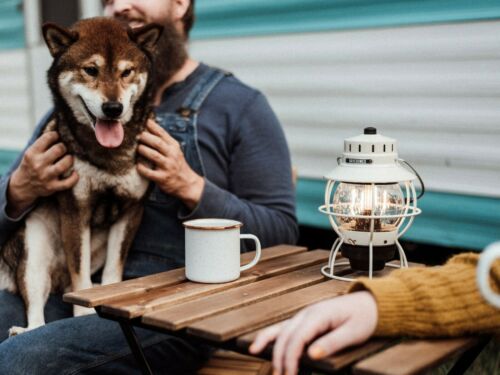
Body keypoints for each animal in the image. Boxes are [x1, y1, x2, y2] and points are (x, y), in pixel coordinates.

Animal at [0, 17, 162, 336]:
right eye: (91, 70)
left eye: (126, 72)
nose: (113, 108)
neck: (110, 155)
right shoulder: (76, 209)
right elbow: (81, 275)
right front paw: (83, 313)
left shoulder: (131, 211)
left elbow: (112, 271)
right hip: (34, 254)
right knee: (37, 310)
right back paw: (25, 330)